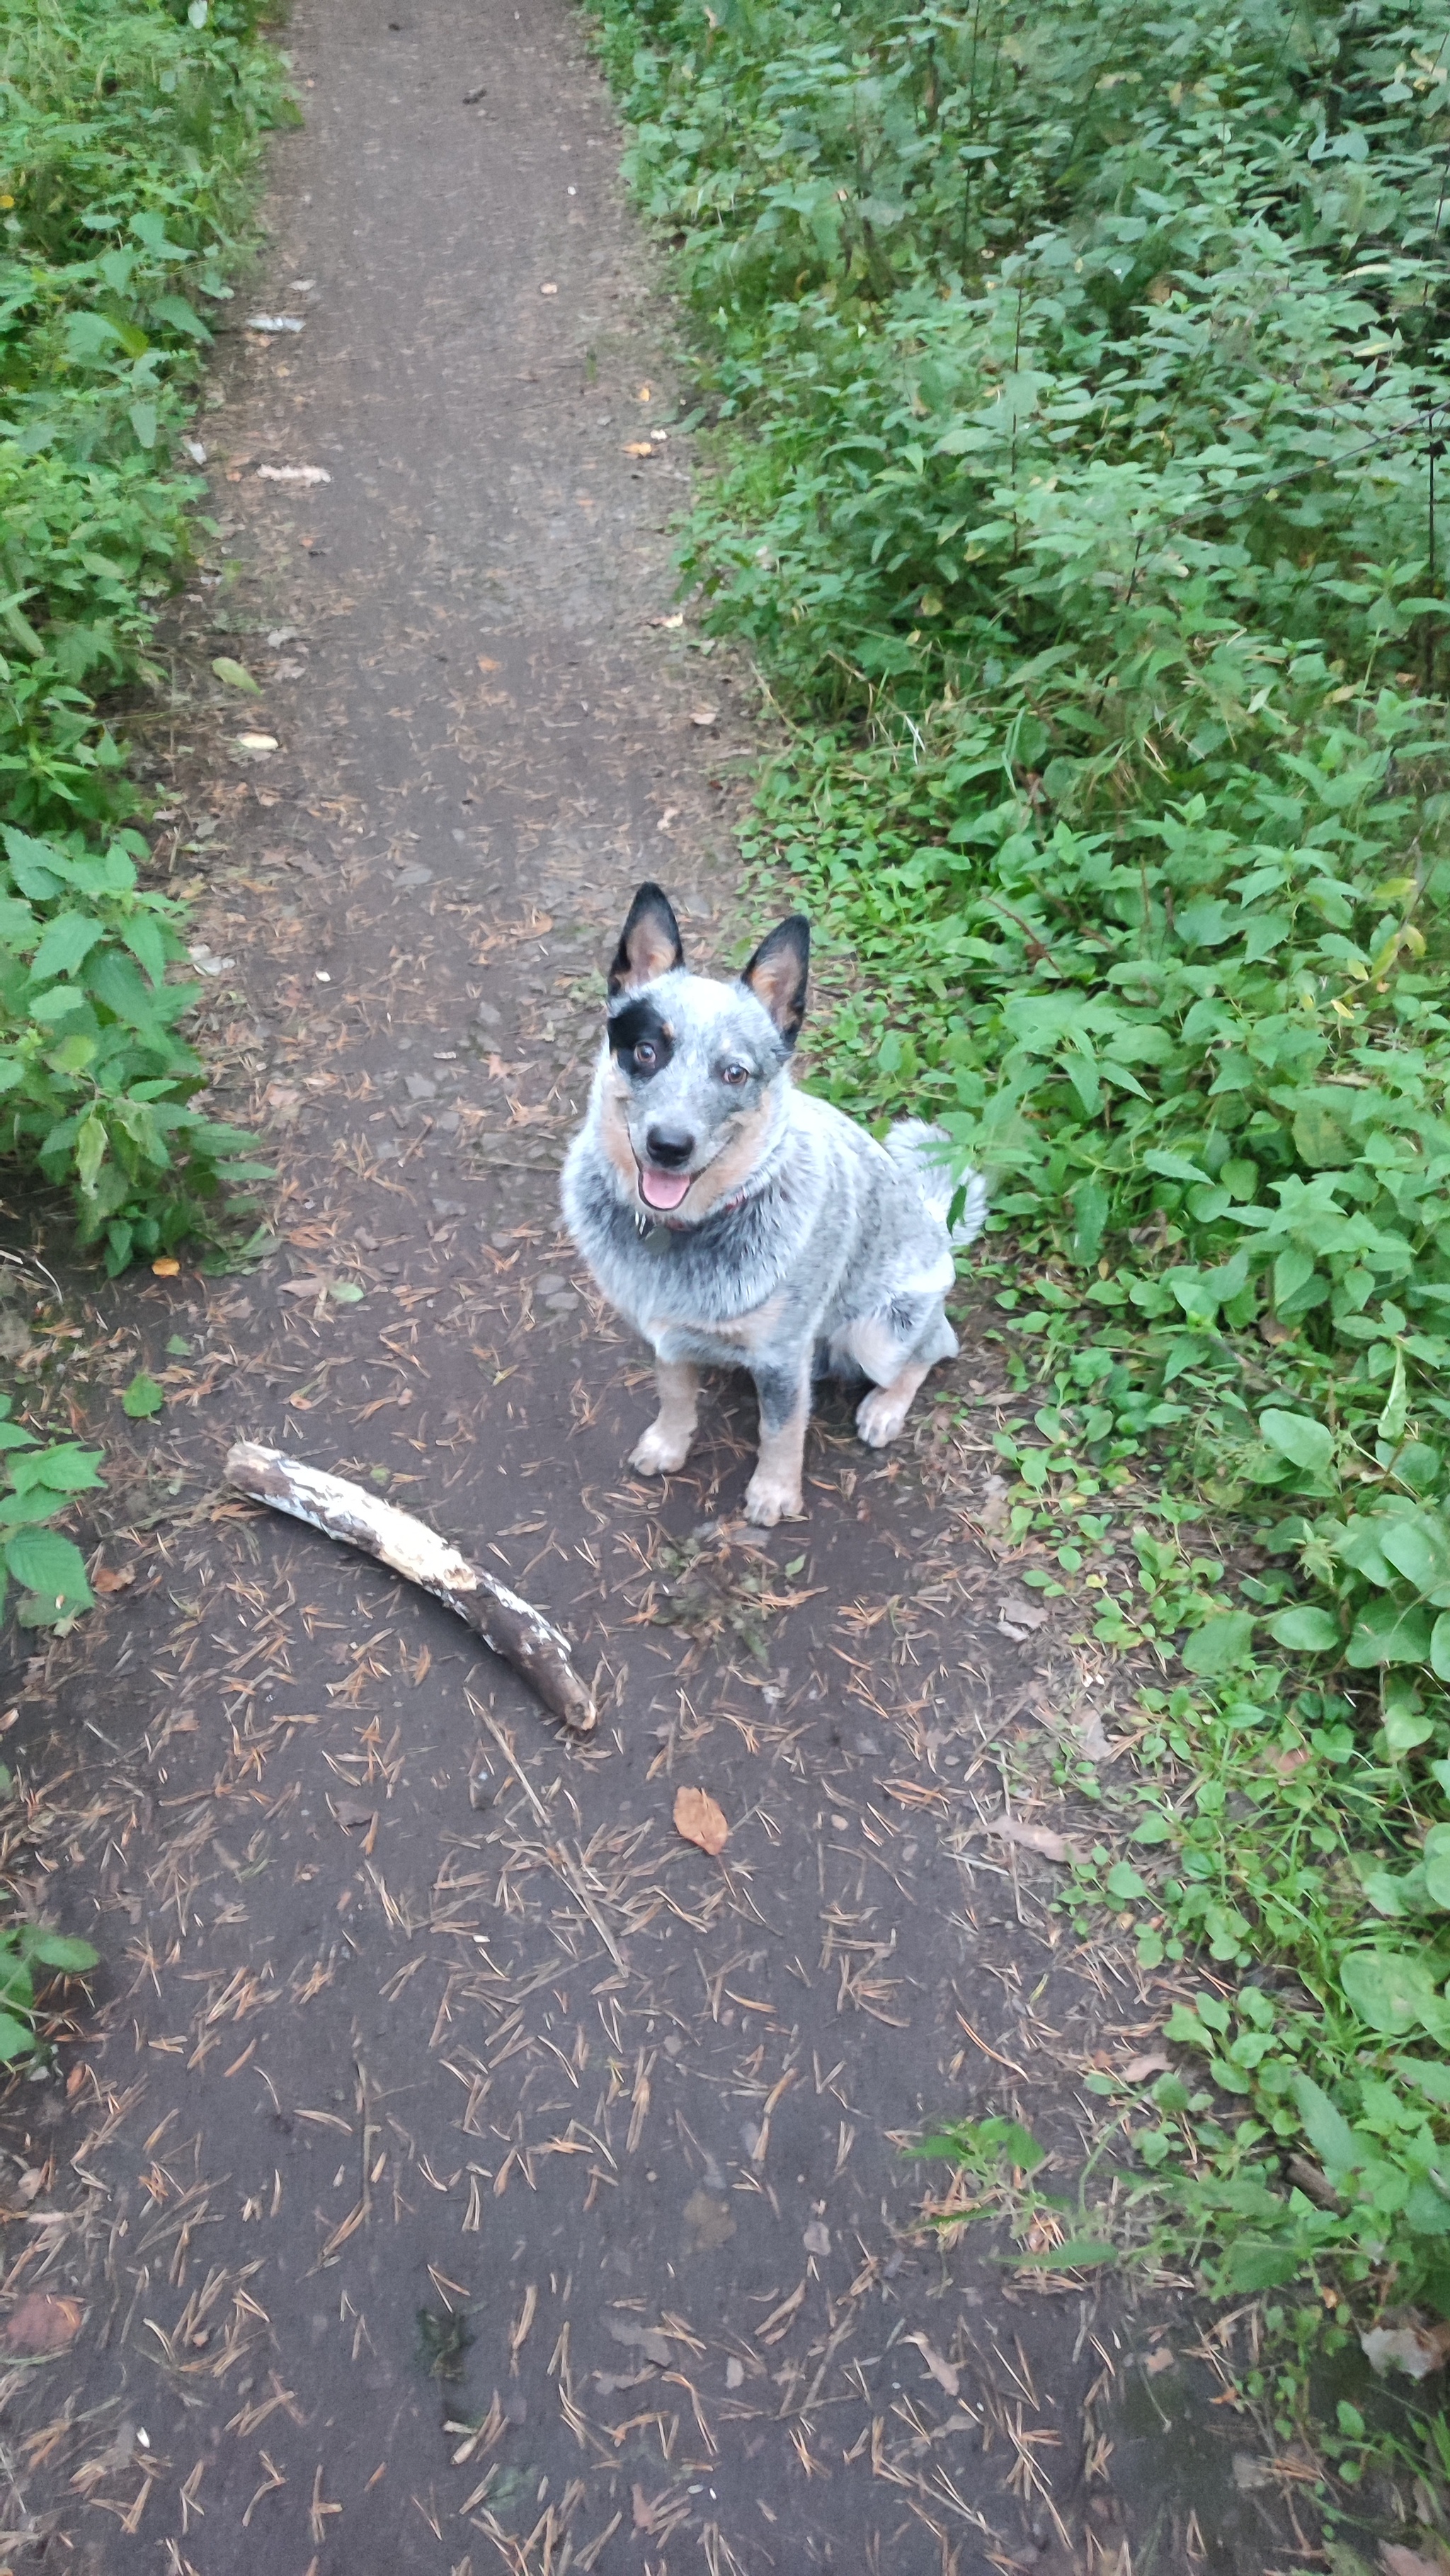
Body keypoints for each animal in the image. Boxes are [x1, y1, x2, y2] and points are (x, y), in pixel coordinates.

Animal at [561, 886, 994, 1524]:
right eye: (645, 1051)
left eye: (734, 1072)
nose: (669, 1145)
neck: (688, 1228)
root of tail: (937, 1224)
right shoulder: (663, 1331)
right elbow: (674, 1392)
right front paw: (668, 1444)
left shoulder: (782, 1356)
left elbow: (781, 1429)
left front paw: (774, 1492)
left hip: (881, 1333)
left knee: (936, 1345)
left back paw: (884, 1408)